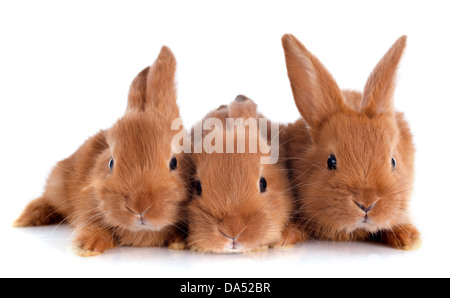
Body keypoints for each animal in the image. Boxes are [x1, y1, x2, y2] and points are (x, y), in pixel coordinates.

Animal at [13, 46, 190, 256]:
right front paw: (84, 247)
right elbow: (94, 226)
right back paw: (25, 218)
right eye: (111, 163)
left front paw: (179, 242)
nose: (139, 207)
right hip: (56, 185)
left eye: (174, 162)